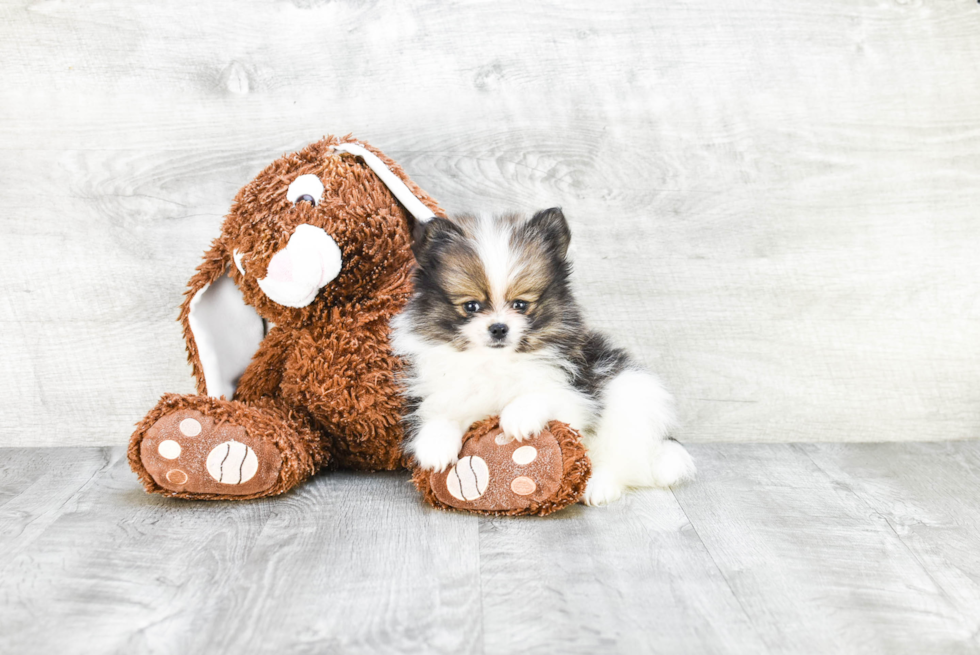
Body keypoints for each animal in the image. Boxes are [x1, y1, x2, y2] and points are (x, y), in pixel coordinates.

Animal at [390, 208, 696, 504]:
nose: (498, 328)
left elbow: (545, 393)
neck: (496, 362)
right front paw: (435, 446)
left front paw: (519, 416)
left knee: (621, 459)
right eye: (471, 306)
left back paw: (598, 486)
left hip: (633, 398)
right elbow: (441, 413)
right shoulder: (446, 391)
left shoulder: (576, 392)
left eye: (520, 304)